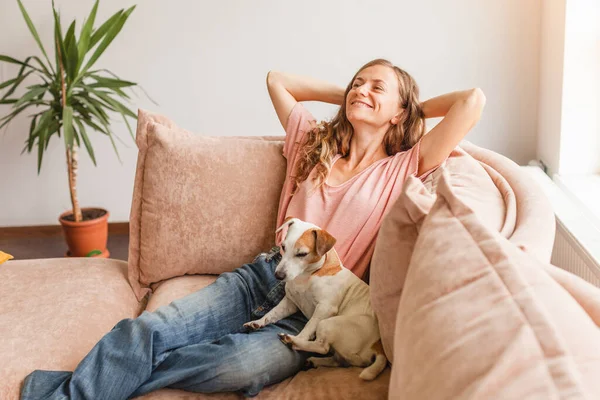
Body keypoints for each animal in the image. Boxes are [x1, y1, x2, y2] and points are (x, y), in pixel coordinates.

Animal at [243, 217, 386, 380]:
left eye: (302, 254)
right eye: (283, 247)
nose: (278, 275)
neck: (306, 275)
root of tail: (378, 345)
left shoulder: (324, 308)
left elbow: (308, 327)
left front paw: (299, 337)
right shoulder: (290, 302)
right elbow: (272, 313)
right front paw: (258, 322)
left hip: (329, 323)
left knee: (322, 347)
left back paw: (293, 341)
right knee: (337, 360)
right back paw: (314, 361)